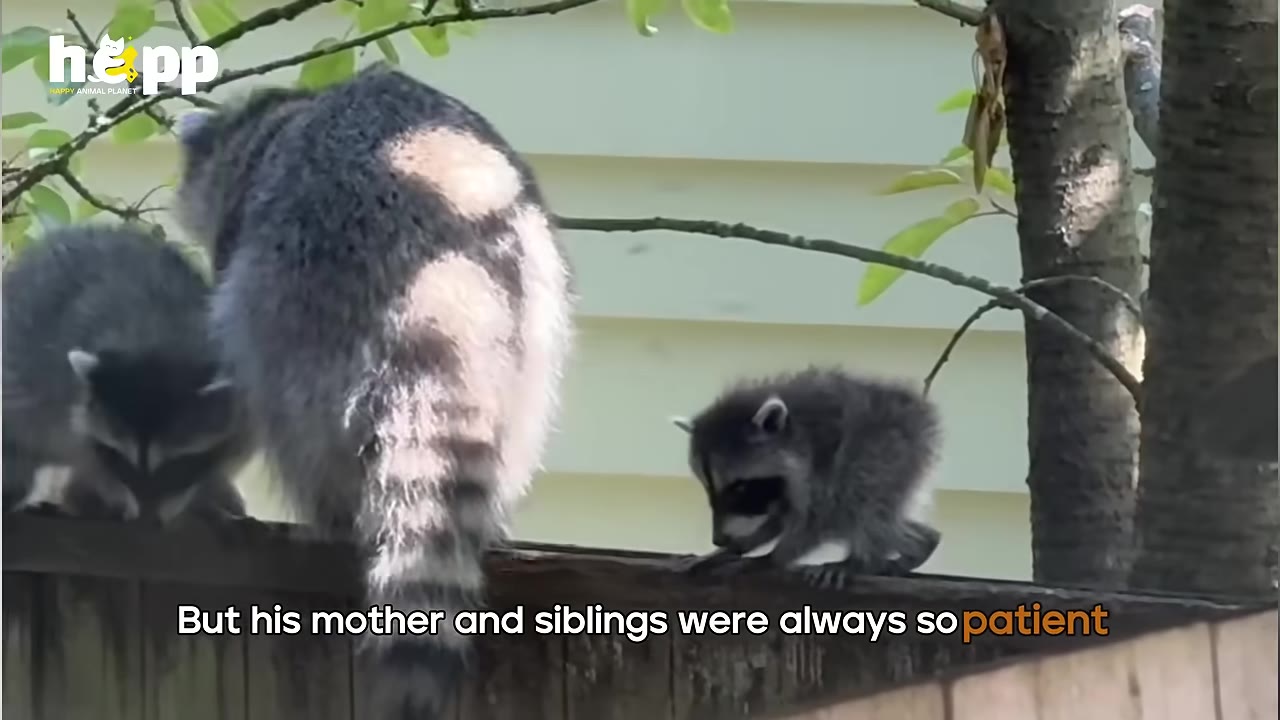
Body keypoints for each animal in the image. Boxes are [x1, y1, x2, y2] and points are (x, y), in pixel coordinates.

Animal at [1, 224, 253, 524]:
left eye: (178, 465)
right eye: (122, 462)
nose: (148, 520)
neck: (158, 340)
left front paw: (208, 492)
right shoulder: (51, 381)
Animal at [171, 65, 575, 720]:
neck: (275, 119)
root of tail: (442, 283)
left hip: (293, 302)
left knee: (291, 421)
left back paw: (329, 513)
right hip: (535, 316)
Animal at [671, 366, 942, 589]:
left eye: (739, 488)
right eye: (708, 487)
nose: (719, 539)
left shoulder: (821, 467)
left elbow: (818, 518)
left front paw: (774, 557)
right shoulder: (777, 490)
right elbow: (775, 517)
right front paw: (739, 545)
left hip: (890, 449)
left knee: (862, 501)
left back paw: (865, 558)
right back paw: (923, 540)